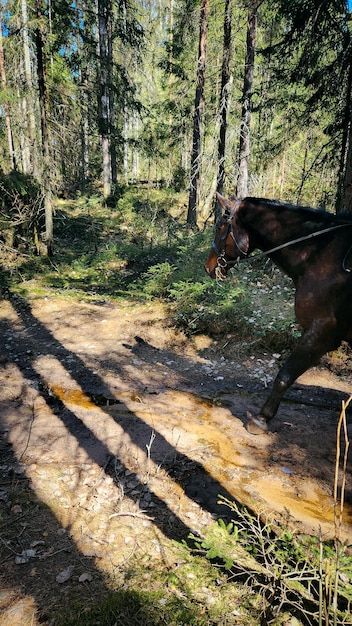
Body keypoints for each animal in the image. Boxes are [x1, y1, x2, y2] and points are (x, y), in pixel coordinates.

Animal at [204, 193, 352, 432]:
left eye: (220, 226)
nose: (208, 267)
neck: (320, 253)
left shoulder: (322, 332)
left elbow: (284, 376)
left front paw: (261, 418)